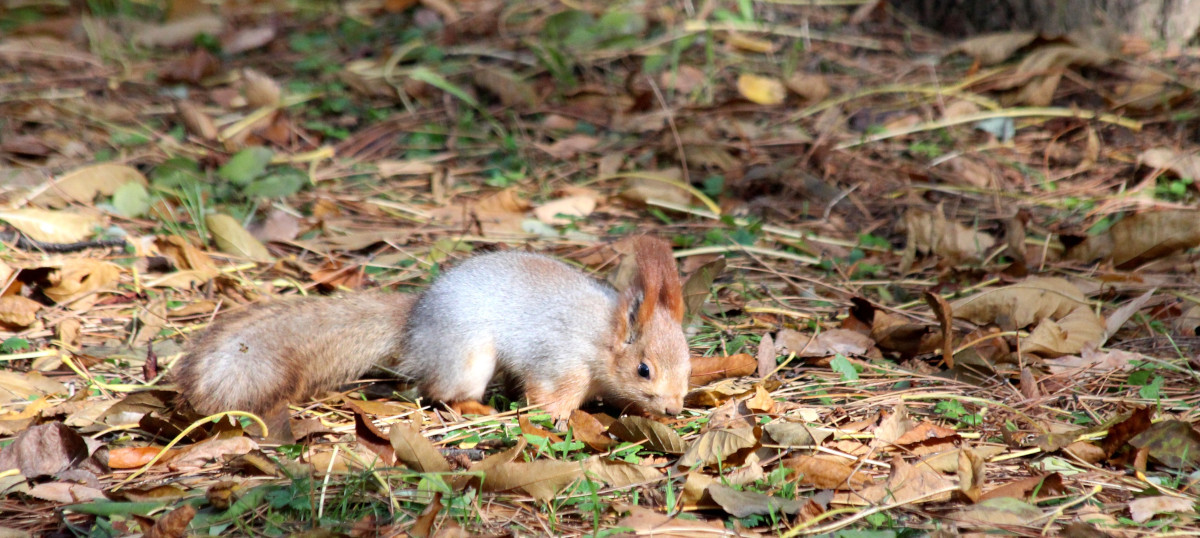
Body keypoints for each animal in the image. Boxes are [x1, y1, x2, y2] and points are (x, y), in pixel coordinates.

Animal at [174, 237, 691, 429]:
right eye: (644, 370)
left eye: (688, 367)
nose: (673, 409)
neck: (602, 337)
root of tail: (416, 318)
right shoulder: (560, 362)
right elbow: (546, 397)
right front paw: (558, 419)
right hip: (467, 357)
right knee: (440, 392)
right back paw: (476, 407)